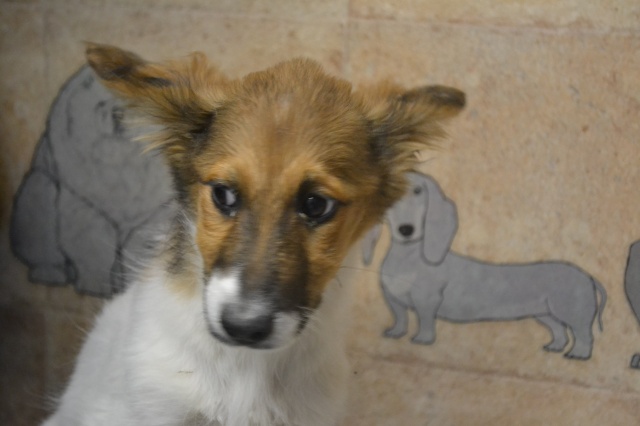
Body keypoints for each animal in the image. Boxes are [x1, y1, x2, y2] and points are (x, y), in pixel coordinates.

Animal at [363, 172, 606, 360]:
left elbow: (425, 321)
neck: (408, 260)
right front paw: (394, 333)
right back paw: (554, 347)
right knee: (560, 331)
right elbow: (400, 318)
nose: (406, 230)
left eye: (418, 191)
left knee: (584, 334)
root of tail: (588, 276)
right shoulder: (393, 299)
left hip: (573, 312)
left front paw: (422, 339)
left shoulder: (427, 300)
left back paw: (579, 354)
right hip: (545, 314)